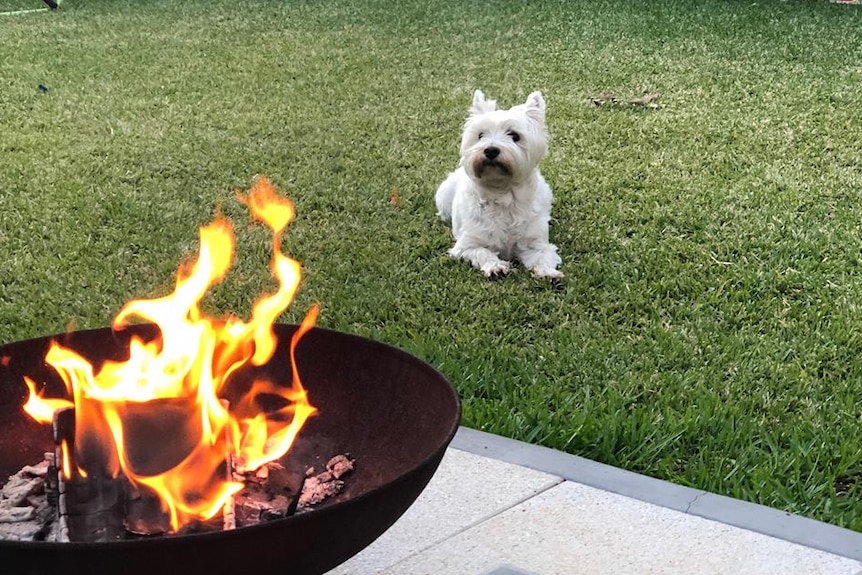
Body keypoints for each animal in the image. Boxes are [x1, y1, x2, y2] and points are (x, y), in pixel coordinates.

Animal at [436, 89, 564, 280]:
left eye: (514, 136)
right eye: (480, 135)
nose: (490, 150)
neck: (503, 195)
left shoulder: (535, 244)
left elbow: (543, 256)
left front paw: (549, 273)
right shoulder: (467, 245)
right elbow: (482, 252)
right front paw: (496, 267)